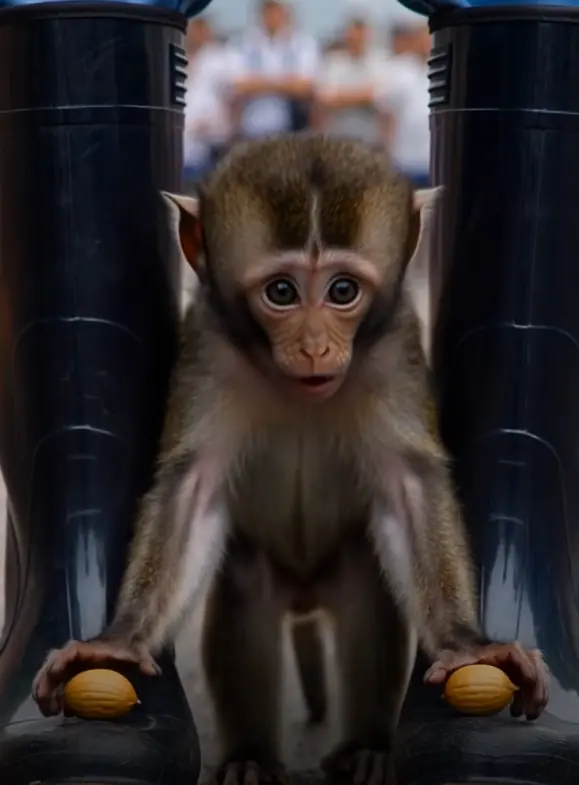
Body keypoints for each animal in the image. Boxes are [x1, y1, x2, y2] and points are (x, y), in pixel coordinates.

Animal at [32, 135, 549, 785]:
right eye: (282, 293)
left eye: (342, 291)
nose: (315, 347)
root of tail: (305, 593)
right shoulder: (209, 349)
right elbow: (191, 490)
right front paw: (121, 639)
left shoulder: (395, 349)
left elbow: (410, 487)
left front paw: (465, 643)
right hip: (265, 573)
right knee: (245, 608)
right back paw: (252, 756)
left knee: (367, 601)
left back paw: (367, 747)